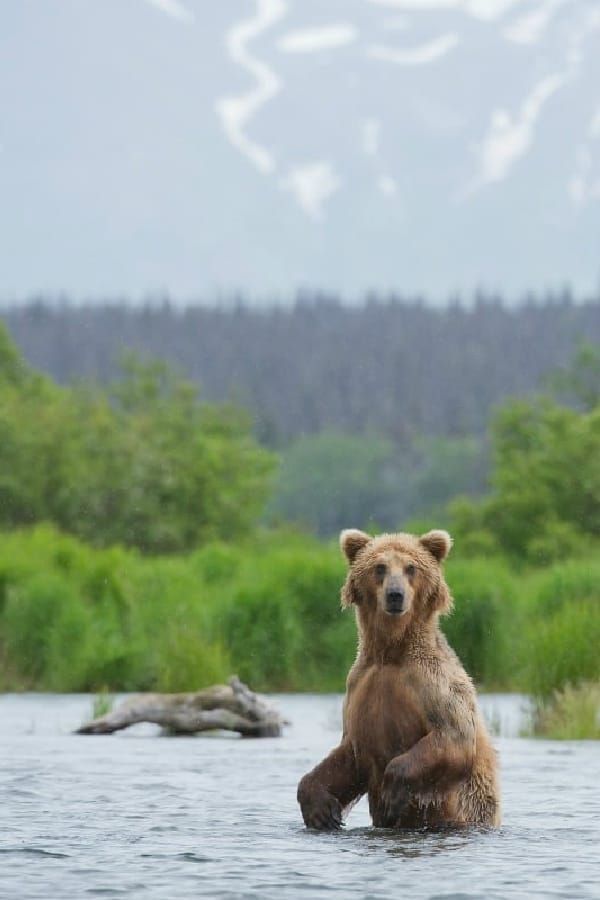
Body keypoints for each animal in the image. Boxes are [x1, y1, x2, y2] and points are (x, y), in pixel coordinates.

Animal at [298, 528, 500, 828]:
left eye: (411, 567)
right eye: (380, 567)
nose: (395, 595)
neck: (391, 652)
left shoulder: (432, 684)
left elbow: (453, 737)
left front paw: (392, 794)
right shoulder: (360, 688)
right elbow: (347, 756)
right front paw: (322, 811)